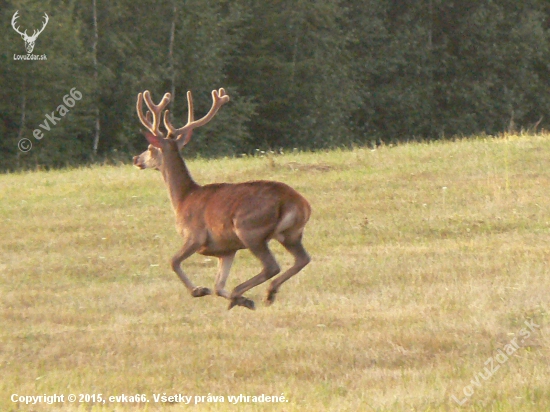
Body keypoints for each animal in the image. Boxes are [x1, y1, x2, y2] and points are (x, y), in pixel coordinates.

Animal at [134, 88, 312, 310]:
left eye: (150, 148)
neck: (183, 198)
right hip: (291, 233)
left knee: (272, 266)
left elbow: (173, 261)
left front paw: (198, 290)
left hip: (250, 229)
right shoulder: (227, 249)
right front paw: (244, 300)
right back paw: (262, 293)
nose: (136, 159)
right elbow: (218, 286)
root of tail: (297, 202)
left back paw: (243, 293)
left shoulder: (195, 235)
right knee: (302, 259)